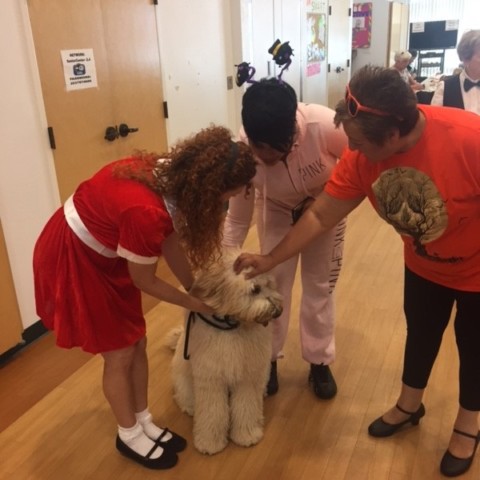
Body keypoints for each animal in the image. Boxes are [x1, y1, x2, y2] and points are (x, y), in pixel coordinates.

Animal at [168, 249, 284, 456]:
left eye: (269, 285)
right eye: (255, 289)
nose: (278, 311)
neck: (234, 327)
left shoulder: (247, 378)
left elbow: (246, 407)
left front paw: (246, 435)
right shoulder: (211, 379)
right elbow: (212, 412)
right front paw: (209, 443)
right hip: (184, 377)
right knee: (184, 396)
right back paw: (190, 407)